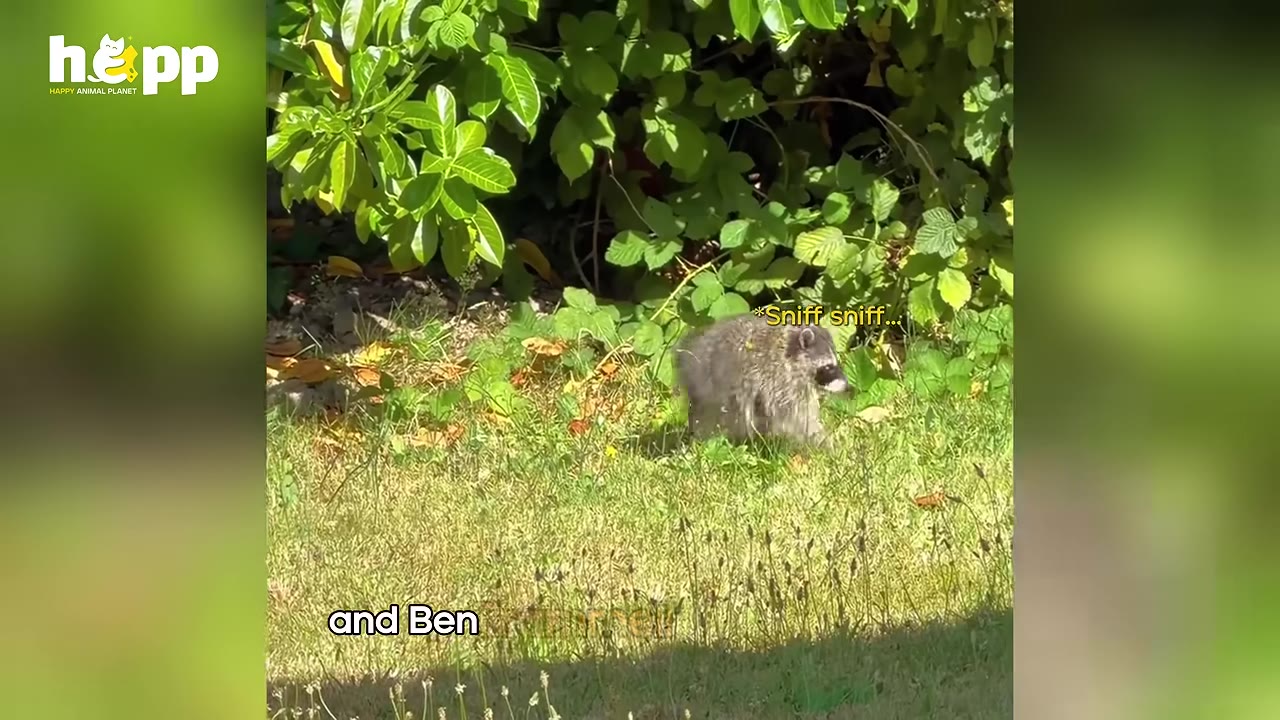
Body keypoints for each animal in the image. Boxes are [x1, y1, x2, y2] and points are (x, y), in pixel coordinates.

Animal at [675, 313, 849, 446]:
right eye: (828, 367)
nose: (847, 387)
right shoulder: (782, 382)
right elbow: (799, 420)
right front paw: (825, 444)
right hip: (714, 391)